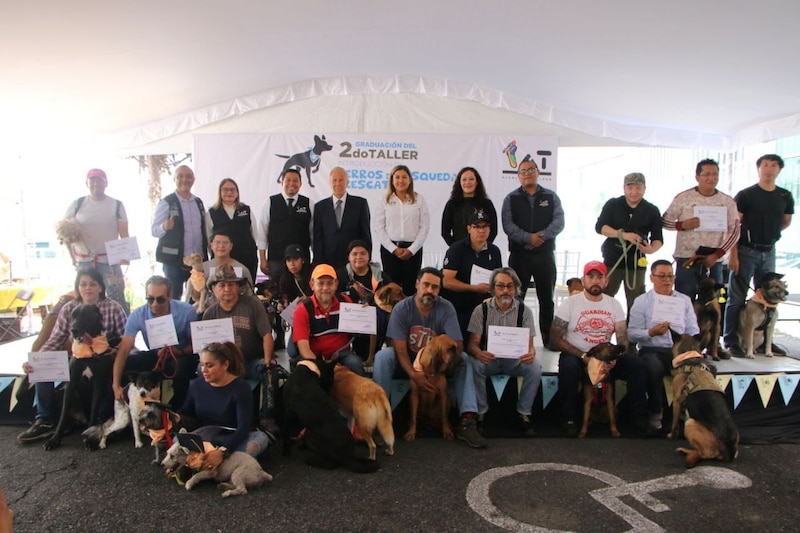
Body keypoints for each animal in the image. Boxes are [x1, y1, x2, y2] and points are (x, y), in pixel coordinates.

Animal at [668, 330, 736, 468]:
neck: (690, 355)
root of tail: (729, 450)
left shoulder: (677, 399)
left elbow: (674, 422)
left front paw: (672, 436)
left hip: (690, 423)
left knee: (704, 454)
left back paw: (687, 451)